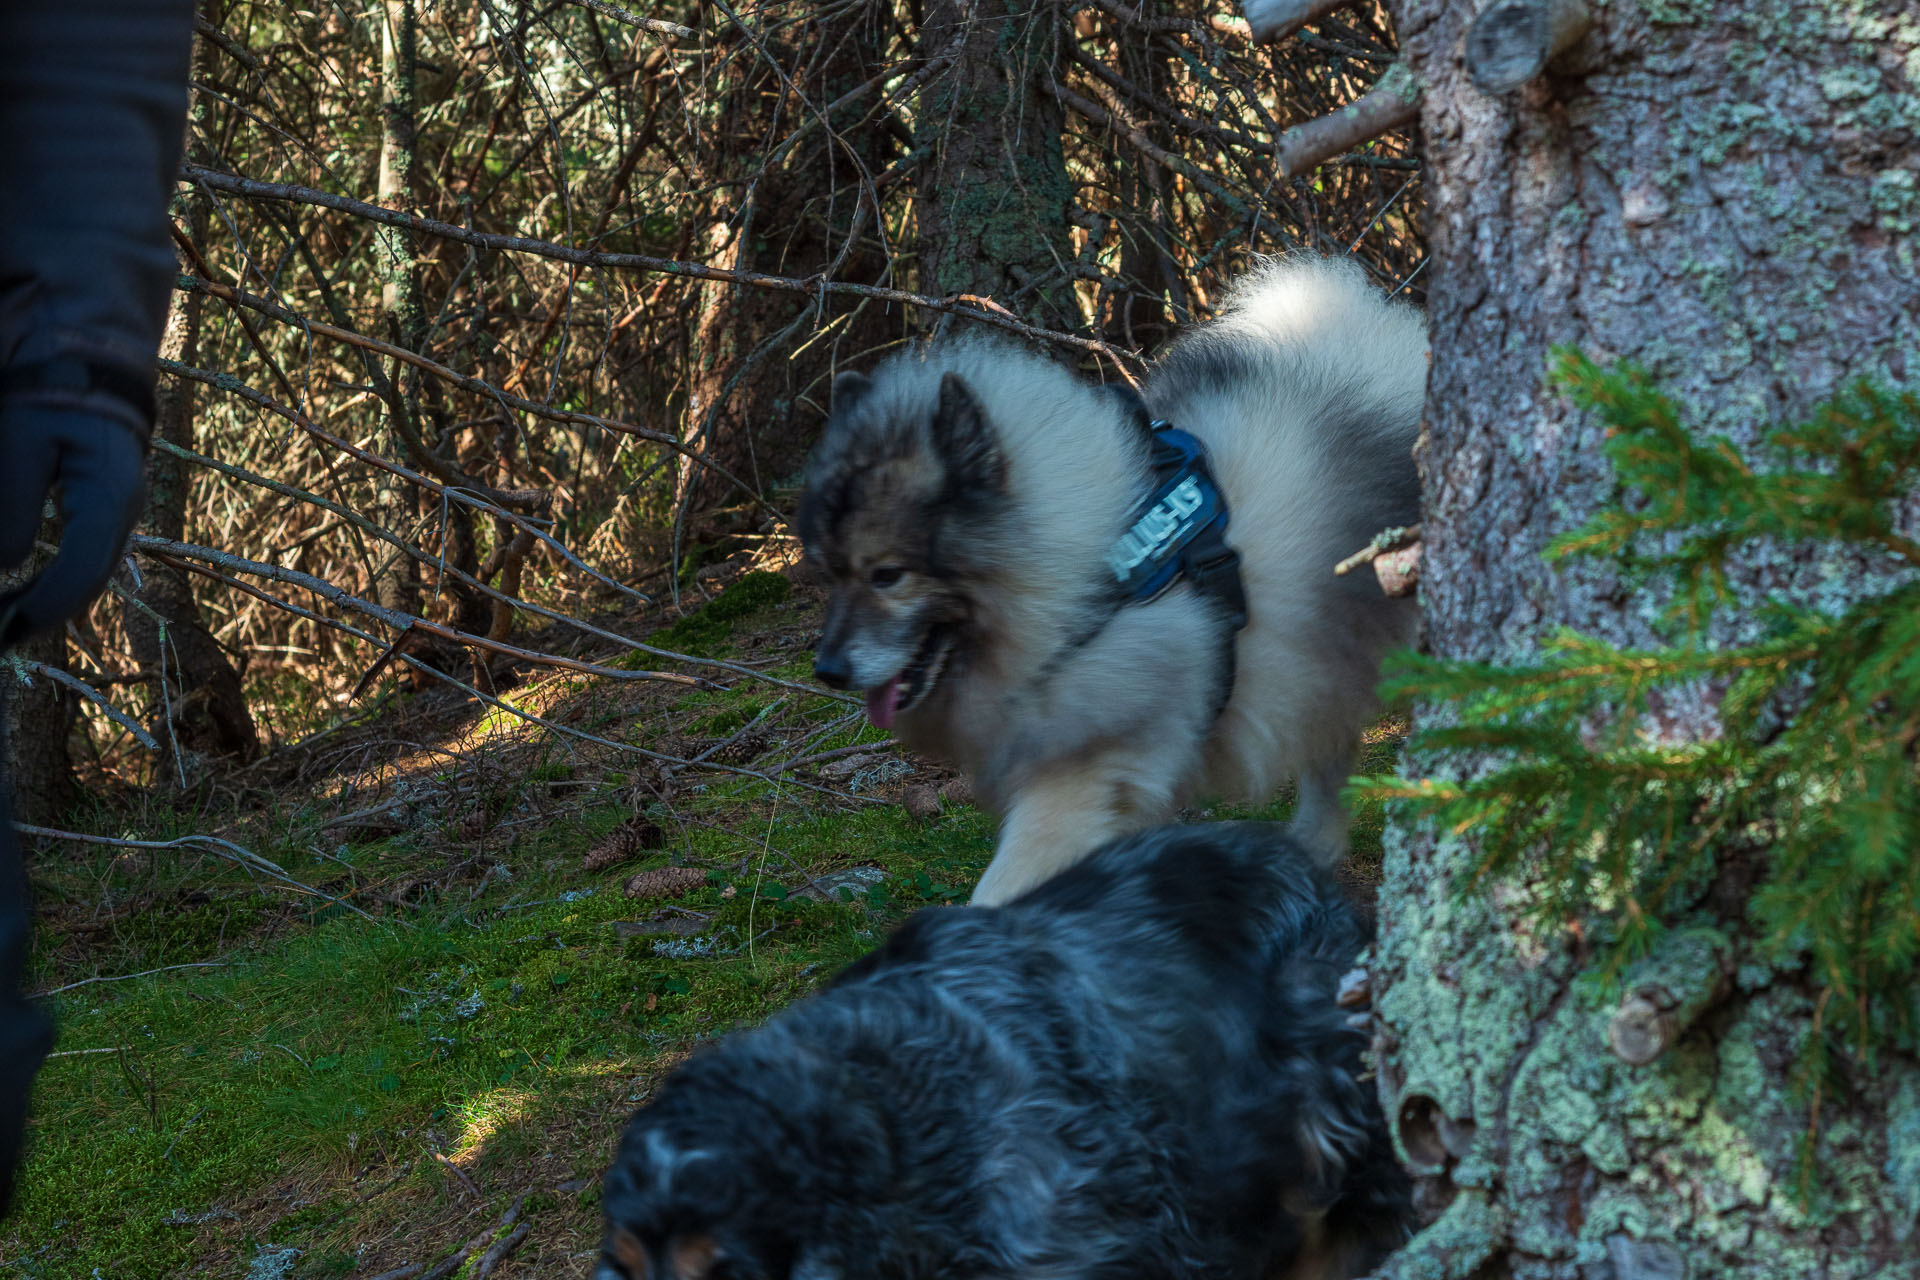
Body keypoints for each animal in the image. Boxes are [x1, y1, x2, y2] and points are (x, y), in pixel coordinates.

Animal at [794, 255, 1428, 905]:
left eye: (888, 576)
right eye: (828, 572)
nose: (828, 671)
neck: (1085, 585)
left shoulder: (1079, 776)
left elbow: (1001, 889)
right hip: (1327, 656)